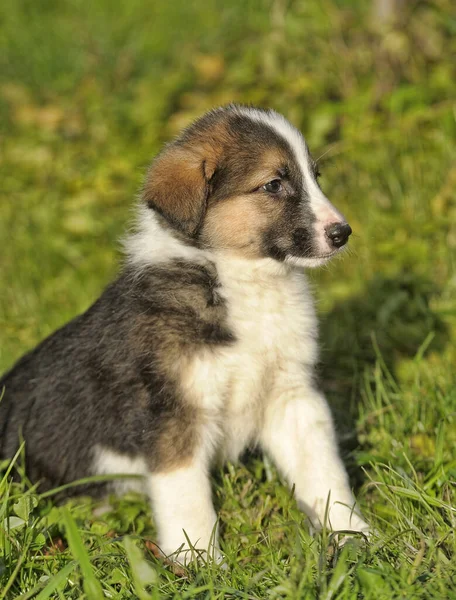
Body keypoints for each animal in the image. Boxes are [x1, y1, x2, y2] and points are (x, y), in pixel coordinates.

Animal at [0, 104, 368, 568]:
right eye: (274, 184)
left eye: (315, 176)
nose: (343, 233)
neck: (238, 279)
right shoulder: (175, 417)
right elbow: (188, 500)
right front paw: (201, 563)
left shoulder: (292, 397)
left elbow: (324, 473)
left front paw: (353, 534)